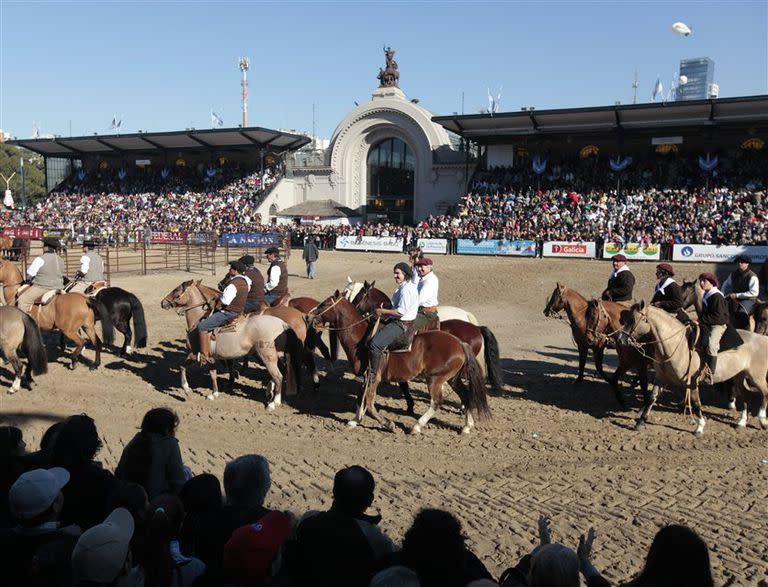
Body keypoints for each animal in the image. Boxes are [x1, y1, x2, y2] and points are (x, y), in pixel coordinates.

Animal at [162, 280, 304, 408]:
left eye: (176, 290)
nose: (163, 302)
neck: (198, 321)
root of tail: (282, 323)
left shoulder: (194, 353)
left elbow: (182, 367)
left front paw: (186, 388)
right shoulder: (212, 357)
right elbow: (213, 374)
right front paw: (214, 393)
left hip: (267, 357)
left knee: (278, 376)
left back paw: (274, 402)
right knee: (282, 372)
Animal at [308, 290, 488, 434]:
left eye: (325, 304)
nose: (309, 316)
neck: (361, 340)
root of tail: (460, 343)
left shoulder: (373, 377)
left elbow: (370, 404)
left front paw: (388, 424)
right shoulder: (364, 377)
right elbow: (360, 399)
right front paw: (355, 420)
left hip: (436, 379)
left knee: (436, 402)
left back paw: (417, 426)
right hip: (452, 378)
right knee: (466, 396)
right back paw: (467, 426)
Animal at [620, 304, 768, 436]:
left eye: (632, 319)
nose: (621, 339)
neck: (679, 346)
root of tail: (763, 338)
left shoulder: (692, 382)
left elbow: (696, 403)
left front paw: (700, 427)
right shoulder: (661, 378)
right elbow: (652, 398)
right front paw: (640, 422)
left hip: (757, 377)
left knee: (765, 393)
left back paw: (762, 420)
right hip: (739, 376)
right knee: (746, 395)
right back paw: (741, 422)